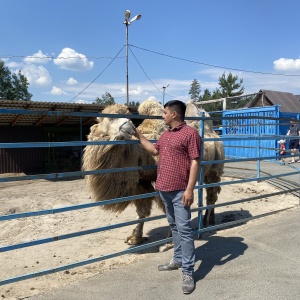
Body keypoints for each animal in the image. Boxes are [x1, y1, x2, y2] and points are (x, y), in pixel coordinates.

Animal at [81, 99, 223, 245]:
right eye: (109, 118)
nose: (130, 127)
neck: (140, 154)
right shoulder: (140, 181)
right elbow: (142, 210)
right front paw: (135, 238)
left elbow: (168, 209)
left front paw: (170, 239)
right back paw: (208, 220)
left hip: (215, 168)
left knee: (212, 194)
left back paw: (207, 222)